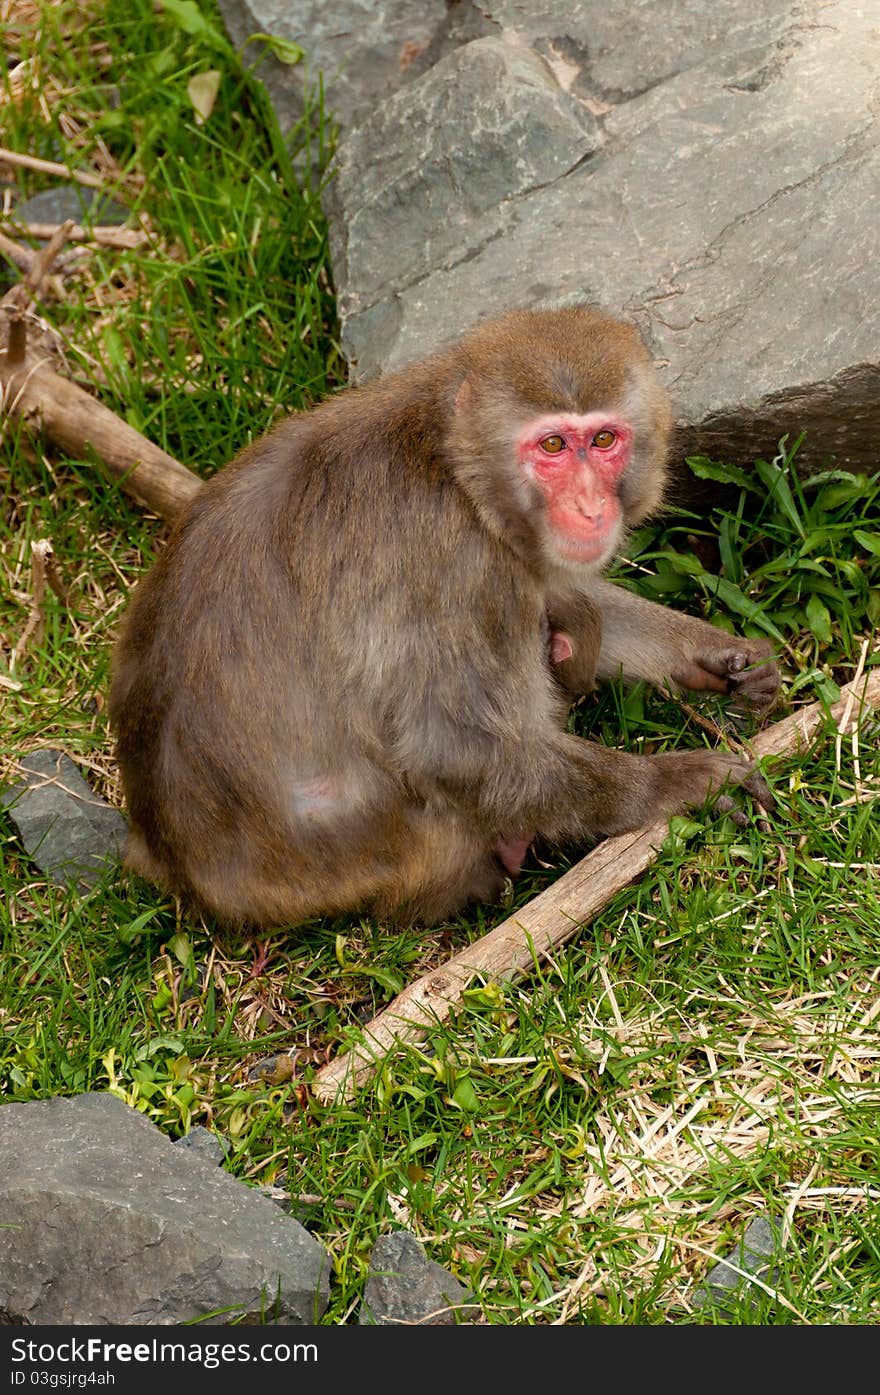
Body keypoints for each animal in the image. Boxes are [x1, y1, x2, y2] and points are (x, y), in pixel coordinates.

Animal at [110, 311, 775, 931]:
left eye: (605, 439)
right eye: (553, 447)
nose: (590, 506)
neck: (455, 468)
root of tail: (173, 861)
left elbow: (562, 586)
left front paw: (715, 655)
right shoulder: (458, 566)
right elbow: (452, 748)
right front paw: (680, 783)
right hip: (365, 863)